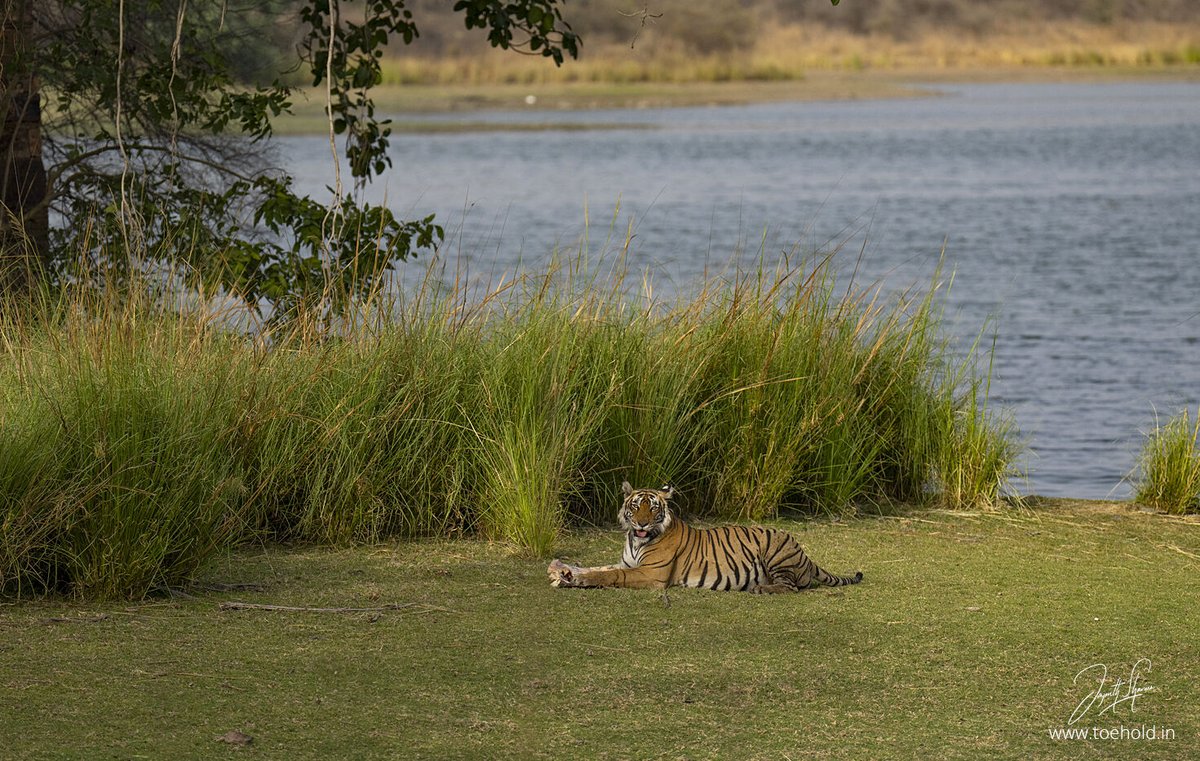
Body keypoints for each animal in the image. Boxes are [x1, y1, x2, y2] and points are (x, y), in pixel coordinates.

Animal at [548, 482, 863, 594]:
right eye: (636, 506)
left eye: (654, 507)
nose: (642, 523)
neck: (636, 540)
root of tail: (805, 555)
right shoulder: (628, 564)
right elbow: (599, 568)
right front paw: (566, 572)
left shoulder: (651, 574)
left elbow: (609, 576)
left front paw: (575, 578)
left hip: (776, 549)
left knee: (791, 587)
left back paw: (760, 588)